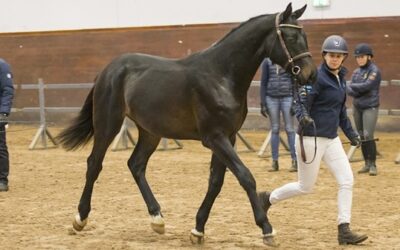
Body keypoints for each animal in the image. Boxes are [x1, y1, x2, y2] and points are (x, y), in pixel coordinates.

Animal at [56, 2, 318, 246]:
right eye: (291, 37)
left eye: (305, 36)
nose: (310, 74)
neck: (221, 75)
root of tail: (107, 70)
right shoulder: (215, 137)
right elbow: (245, 176)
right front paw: (267, 229)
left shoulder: (228, 136)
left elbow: (216, 182)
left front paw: (198, 229)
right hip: (108, 124)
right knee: (94, 164)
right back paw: (80, 218)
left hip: (150, 132)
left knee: (136, 165)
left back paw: (157, 219)